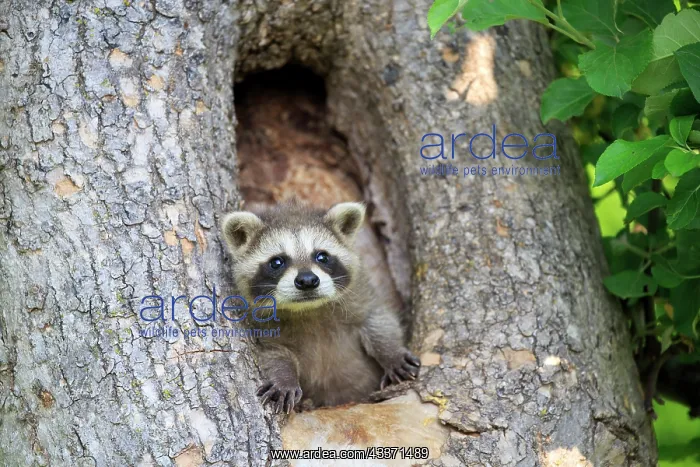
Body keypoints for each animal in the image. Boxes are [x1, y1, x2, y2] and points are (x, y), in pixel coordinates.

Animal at [220, 200, 420, 413]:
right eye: (277, 262)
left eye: (322, 256)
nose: (307, 280)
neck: (309, 309)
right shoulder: (260, 326)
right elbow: (272, 352)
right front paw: (284, 377)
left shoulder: (361, 295)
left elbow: (378, 319)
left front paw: (391, 353)